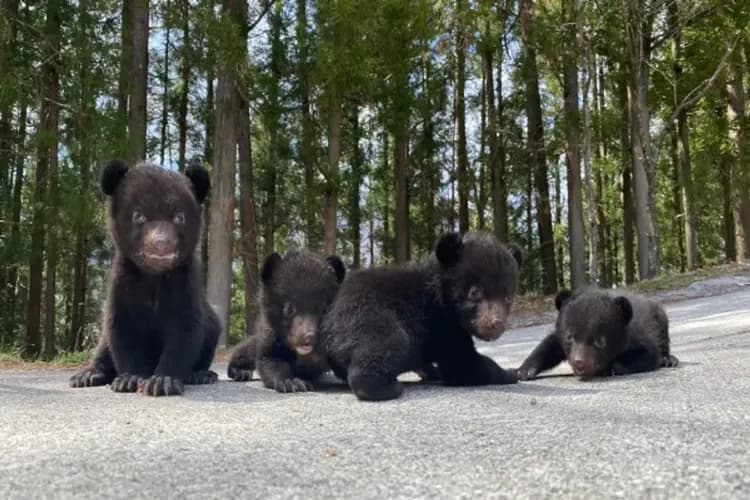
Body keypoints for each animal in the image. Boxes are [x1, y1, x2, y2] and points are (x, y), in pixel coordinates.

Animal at [69, 160, 221, 396]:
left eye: (179, 216)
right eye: (138, 215)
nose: (161, 243)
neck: (154, 276)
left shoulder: (184, 283)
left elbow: (185, 330)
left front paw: (163, 381)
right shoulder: (123, 283)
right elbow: (122, 329)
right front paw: (129, 379)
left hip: (213, 326)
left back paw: (201, 375)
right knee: (103, 346)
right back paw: (88, 375)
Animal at [227, 250, 346, 392]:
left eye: (324, 309)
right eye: (289, 309)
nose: (310, 337)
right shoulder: (271, 336)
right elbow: (269, 360)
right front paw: (291, 382)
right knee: (247, 350)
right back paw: (241, 372)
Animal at [320, 231, 523, 401]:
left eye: (508, 297)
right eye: (475, 292)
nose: (496, 323)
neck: (439, 293)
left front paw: (433, 372)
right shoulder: (441, 323)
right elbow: (461, 363)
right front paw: (511, 373)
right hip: (369, 317)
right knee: (386, 344)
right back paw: (387, 387)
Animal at [517, 288, 679, 380]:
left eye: (600, 341)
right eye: (569, 337)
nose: (579, 362)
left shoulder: (638, 335)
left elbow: (648, 354)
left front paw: (613, 367)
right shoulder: (559, 337)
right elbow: (549, 346)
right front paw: (524, 371)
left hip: (660, 320)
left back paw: (669, 360)